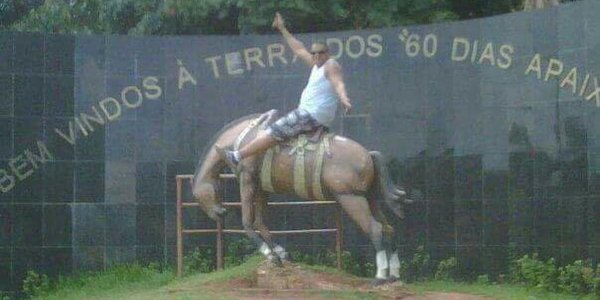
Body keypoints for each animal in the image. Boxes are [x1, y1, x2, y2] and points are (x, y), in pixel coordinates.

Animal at [192, 110, 408, 284]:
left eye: (196, 195)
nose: (220, 213)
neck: (242, 139)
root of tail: (368, 155)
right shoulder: (261, 188)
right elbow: (261, 222)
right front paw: (280, 253)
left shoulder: (247, 181)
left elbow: (247, 222)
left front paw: (270, 255)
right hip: (369, 198)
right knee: (388, 228)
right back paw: (394, 274)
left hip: (351, 199)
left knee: (375, 229)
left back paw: (380, 276)